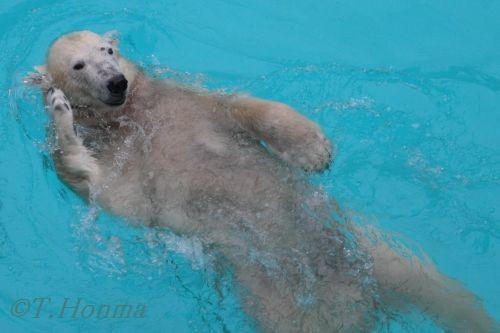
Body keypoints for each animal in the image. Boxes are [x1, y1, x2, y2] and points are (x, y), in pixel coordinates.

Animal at [28, 29, 496, 330]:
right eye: (79, 64)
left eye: (108, 49)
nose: (116, 81)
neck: (131, 116)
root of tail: (364, 291)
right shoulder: (125, 157)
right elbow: (113, 194)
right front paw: (60, 110)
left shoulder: (187, 102)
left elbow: (243, 107)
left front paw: (314, 150)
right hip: (274, 295)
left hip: (376, 247)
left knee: (445, 291)